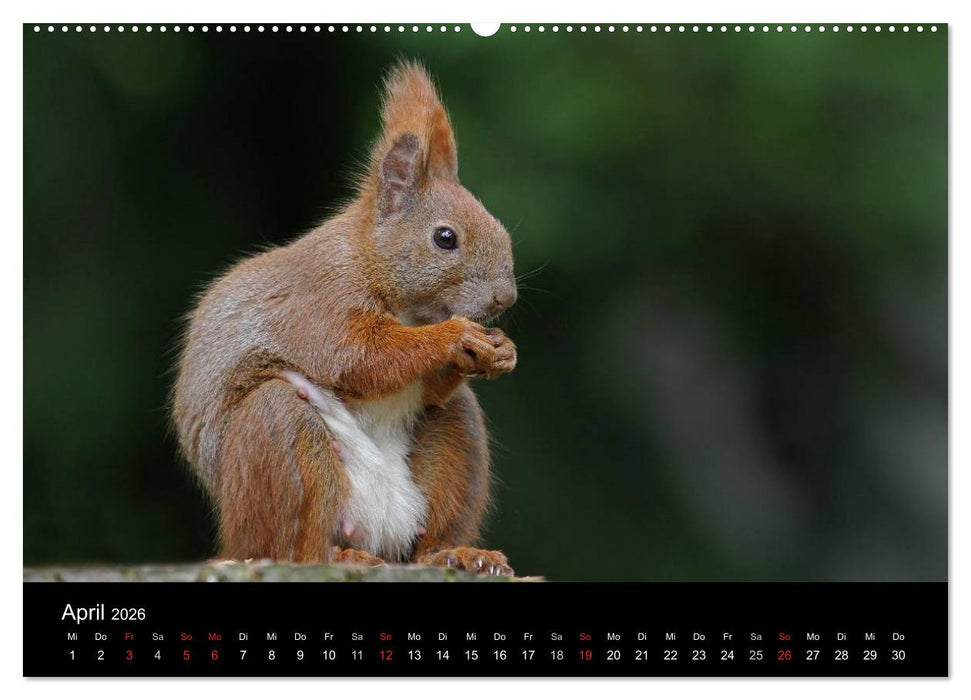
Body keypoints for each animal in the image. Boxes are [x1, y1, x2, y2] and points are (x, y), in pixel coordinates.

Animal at [172, 61, 518, 576]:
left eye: (500, 226)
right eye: (445, 238)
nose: (505, 297)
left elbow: (428, 387)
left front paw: (502, 350)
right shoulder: (321, 301)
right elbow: (359, 356)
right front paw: (455, 336)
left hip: (454, 443)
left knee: (430, 526)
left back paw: (459, 553)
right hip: (278, 440)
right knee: (295, 546)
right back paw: (341, 554)